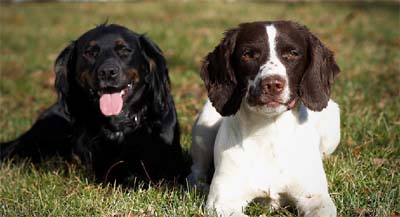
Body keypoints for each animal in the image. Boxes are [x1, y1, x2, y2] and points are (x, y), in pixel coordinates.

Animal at [188, 20, 340, 217]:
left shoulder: (315, 197)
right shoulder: (222, 202)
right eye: (248, 54)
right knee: (196, 169)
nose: (273, 84)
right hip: (204, 124)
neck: (269, 132)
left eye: (293, 53)